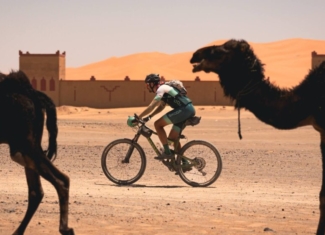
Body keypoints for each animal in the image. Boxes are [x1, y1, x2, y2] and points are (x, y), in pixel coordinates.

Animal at [0, 70, 74, 235]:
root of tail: (32, 93)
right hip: (25, 148)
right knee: (36, 191)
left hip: (25, 144)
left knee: (61, 180)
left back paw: (65, 229)